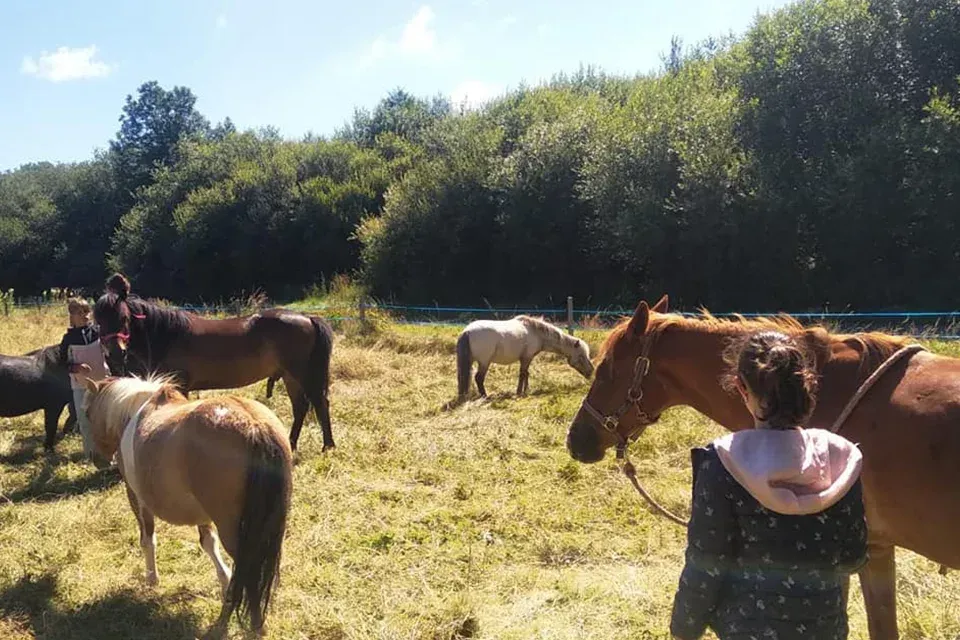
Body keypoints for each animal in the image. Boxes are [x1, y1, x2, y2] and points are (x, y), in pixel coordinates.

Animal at [81, 373, 293, 635]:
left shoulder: (137, 498)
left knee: (248, 571)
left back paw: (244, 624)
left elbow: (147, 539)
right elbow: (209, 544)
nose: (96, 459)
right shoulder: (203, 515)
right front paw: (224, 585)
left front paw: (152, 579)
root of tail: (254, 425)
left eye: (87, 413)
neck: (134, 412)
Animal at [93, 274, 334, 452]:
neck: (167, 336)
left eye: (123, 318)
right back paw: (291, 444)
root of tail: (307, 317)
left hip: (302, 373)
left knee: (320, 403)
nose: (114, 354)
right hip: (289, 376)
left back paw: (327, 445)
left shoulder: (179, 384)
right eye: (98, 321)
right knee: (300, 407)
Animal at [456, 315, 594, 399]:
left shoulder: (526, 359)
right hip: (484, 362)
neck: (536, 332)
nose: (591, 371)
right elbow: (523, 374)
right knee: (479, 378)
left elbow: (526, 373)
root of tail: (467, 332)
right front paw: (520, 392)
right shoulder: (527, 358)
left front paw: (526, 390)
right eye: (581, 356)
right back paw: (485, 396)